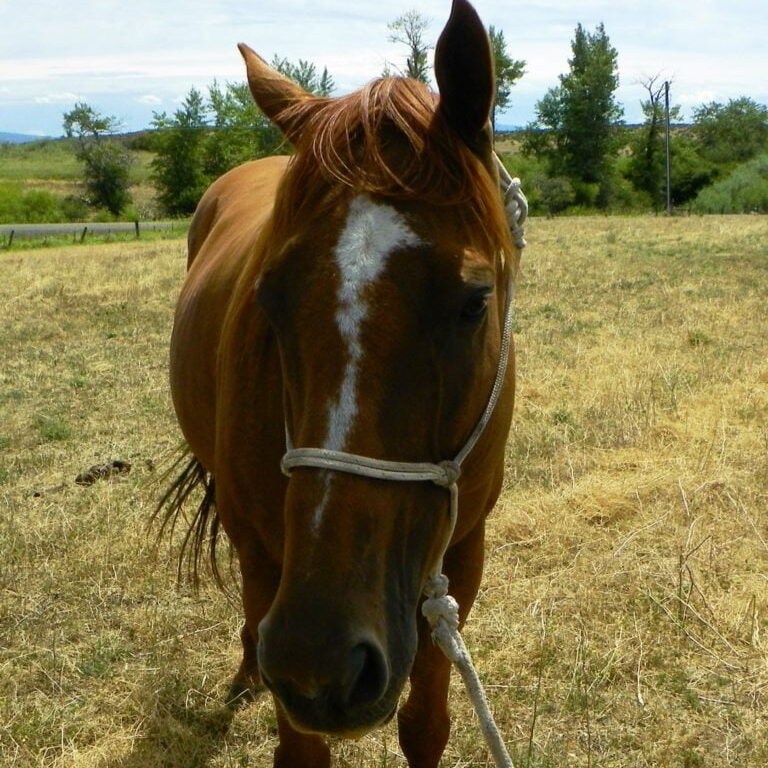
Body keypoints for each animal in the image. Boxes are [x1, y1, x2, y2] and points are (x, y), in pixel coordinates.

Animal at [160, 1, 522, 766]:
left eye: (475, 301)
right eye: (268, 297)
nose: (319, 661)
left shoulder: (462, 550)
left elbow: (427, 725)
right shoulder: (266, 558)